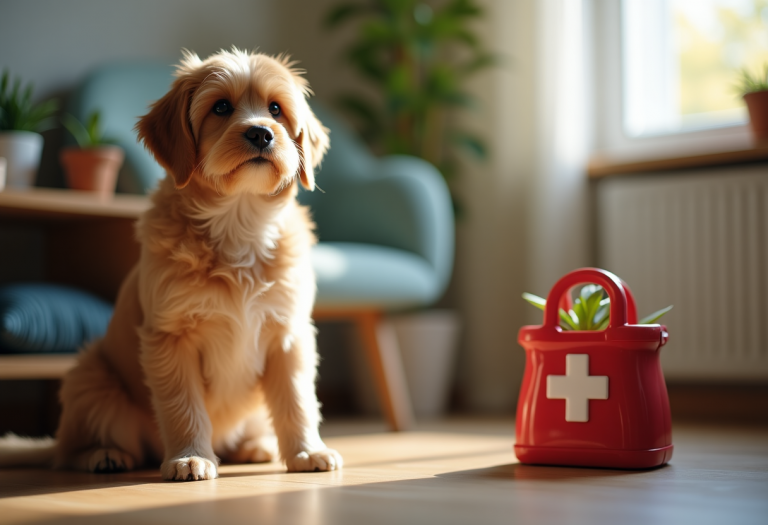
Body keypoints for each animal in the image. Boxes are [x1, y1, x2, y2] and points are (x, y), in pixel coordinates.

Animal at [0, 49, 342, 478]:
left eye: (276, 109)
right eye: (221, 107)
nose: (261, 133)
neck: (238, 222)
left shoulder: (288, 334)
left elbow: (297, 399)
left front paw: (307, 451)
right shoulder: (170, 338)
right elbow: (184, 406)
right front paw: (191, 456)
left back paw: (254, 446)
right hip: (90, 377)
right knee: (67, 452)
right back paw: (103, 454)